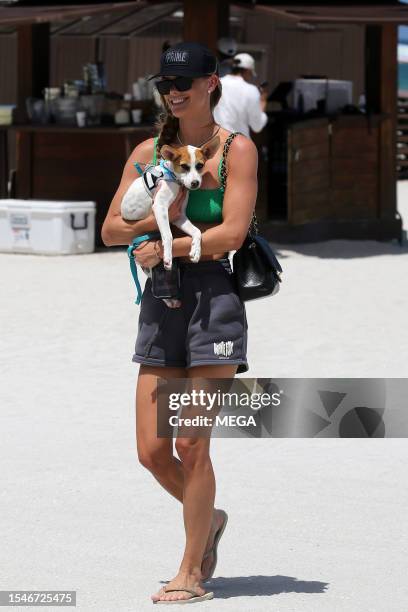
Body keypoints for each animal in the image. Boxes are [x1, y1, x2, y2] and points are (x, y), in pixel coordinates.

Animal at [121, 139, 220, 272]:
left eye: (200, 165)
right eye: (184, 166)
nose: (195, 183)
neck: (173, 176)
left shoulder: (179, 216)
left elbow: (197, 231)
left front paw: (196, 251)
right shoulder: (160, 206)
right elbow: (168, 235)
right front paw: (167, 257)